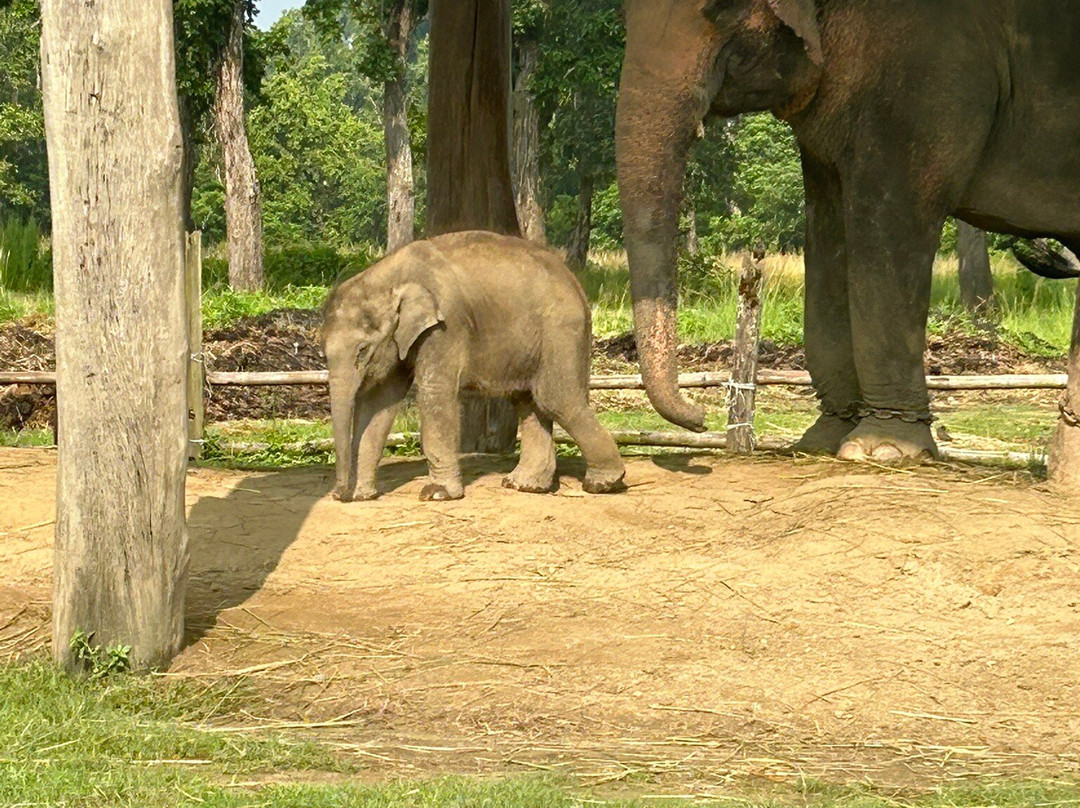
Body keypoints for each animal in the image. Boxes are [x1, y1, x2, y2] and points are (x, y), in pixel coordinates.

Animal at [321, 231, 627, 502]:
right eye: (324, 354)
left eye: (363, 350)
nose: (340, 494)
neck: (391, 274)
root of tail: (576, 283)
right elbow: (379, 402)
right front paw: (363, 496)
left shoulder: (446, 326)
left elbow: (435, 392)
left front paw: (438, 494)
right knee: (527, 400)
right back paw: (524, 485)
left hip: (560, 330)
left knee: (554, 398)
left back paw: (603, 483)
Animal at [616, 0, 1080, 463]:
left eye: (721, 9)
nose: (701, 417)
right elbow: (827, 227)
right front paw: (822, 441)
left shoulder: (930, 71)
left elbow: (889, 222)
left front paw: (881, 449)